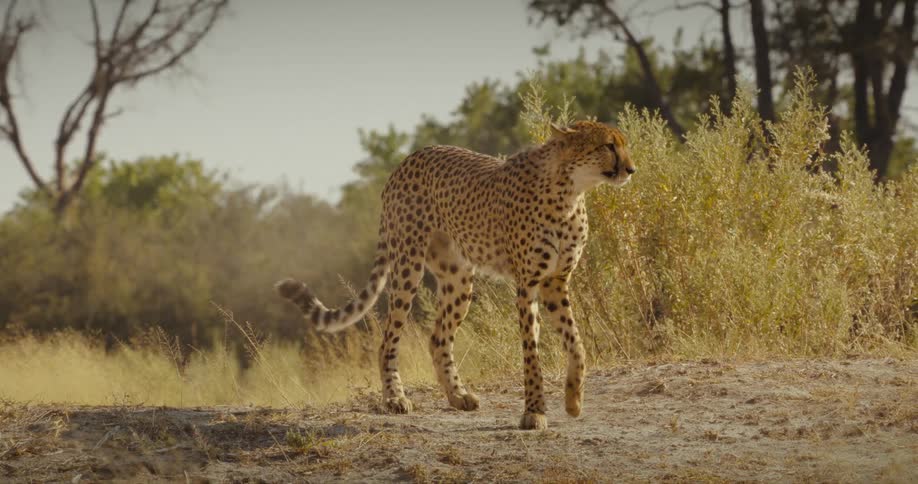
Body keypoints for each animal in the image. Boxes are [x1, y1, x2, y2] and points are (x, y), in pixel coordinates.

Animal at [277, 120, 635, 430]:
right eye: (608, 146)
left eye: (624, 144)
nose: (631, 170)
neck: (570, 192)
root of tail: (410, 157)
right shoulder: (528, 284)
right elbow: (531, 354)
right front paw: (534, 412)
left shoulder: (555, 283)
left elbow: (576, 343)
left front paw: (573, 399)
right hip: (408, 265)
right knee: (388, 338)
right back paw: (395, 398)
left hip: (459, 278)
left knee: (438, 337)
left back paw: (458, 395)